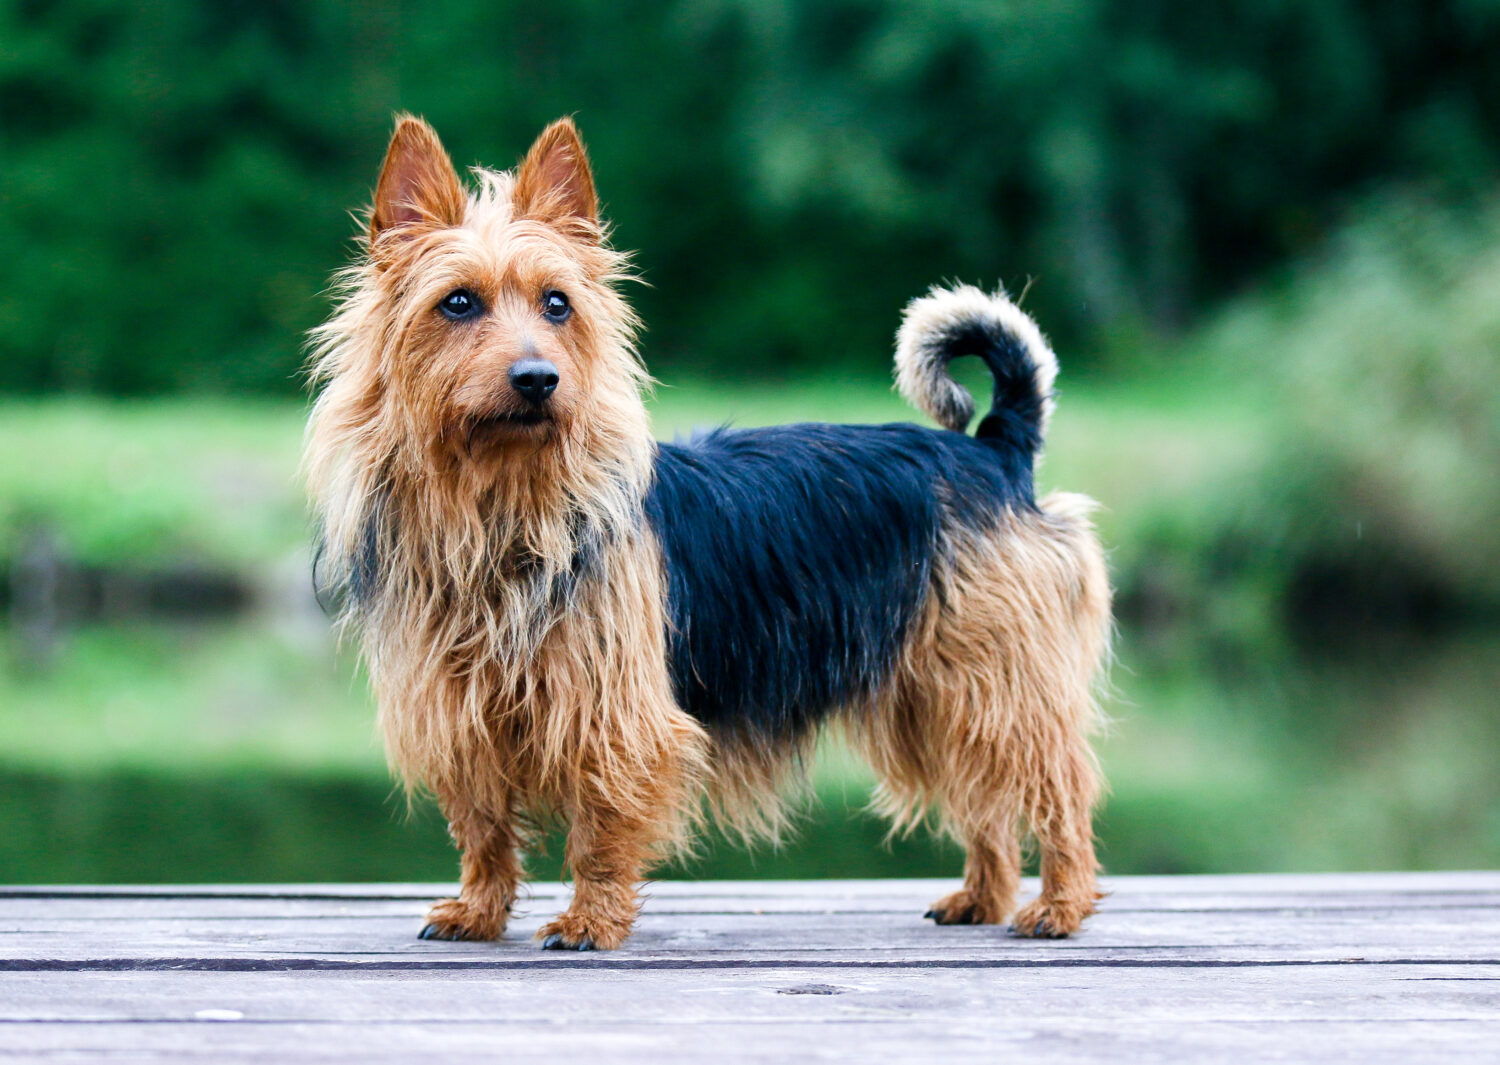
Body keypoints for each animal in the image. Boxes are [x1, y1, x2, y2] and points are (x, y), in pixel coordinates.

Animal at [304, 114, 1110, 954]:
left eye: (558, 305)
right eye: (457, 303)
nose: (538, 378)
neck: (501, 504)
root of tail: (993, 449)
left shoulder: (614, 713)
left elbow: (600, 825)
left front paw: (591, 919)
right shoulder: (459, 712)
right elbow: (483, 825)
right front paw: (480, 908)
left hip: (996, 678)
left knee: (1058, 785)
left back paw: (1062, 903)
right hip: (931, 694)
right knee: (983, 796)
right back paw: (982, 896)